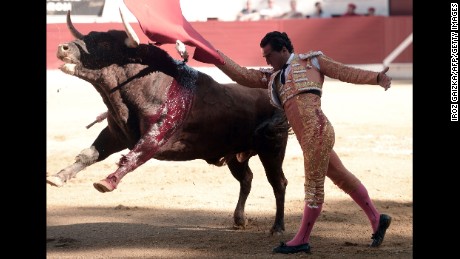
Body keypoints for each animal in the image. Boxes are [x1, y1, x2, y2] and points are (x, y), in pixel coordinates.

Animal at [47, 10, 292, 236]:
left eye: (104, 43)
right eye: (88, 36)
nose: (62, 48)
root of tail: (272, 93)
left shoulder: (155, 137)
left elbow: (133, 157)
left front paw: (107, 182)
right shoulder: (115, 134)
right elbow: (89, 154)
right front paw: (58, 177)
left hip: (272, 149)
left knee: (278, 183)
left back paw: (278, 227)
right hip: (235, 154)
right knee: (246, 179)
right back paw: (240, 219)